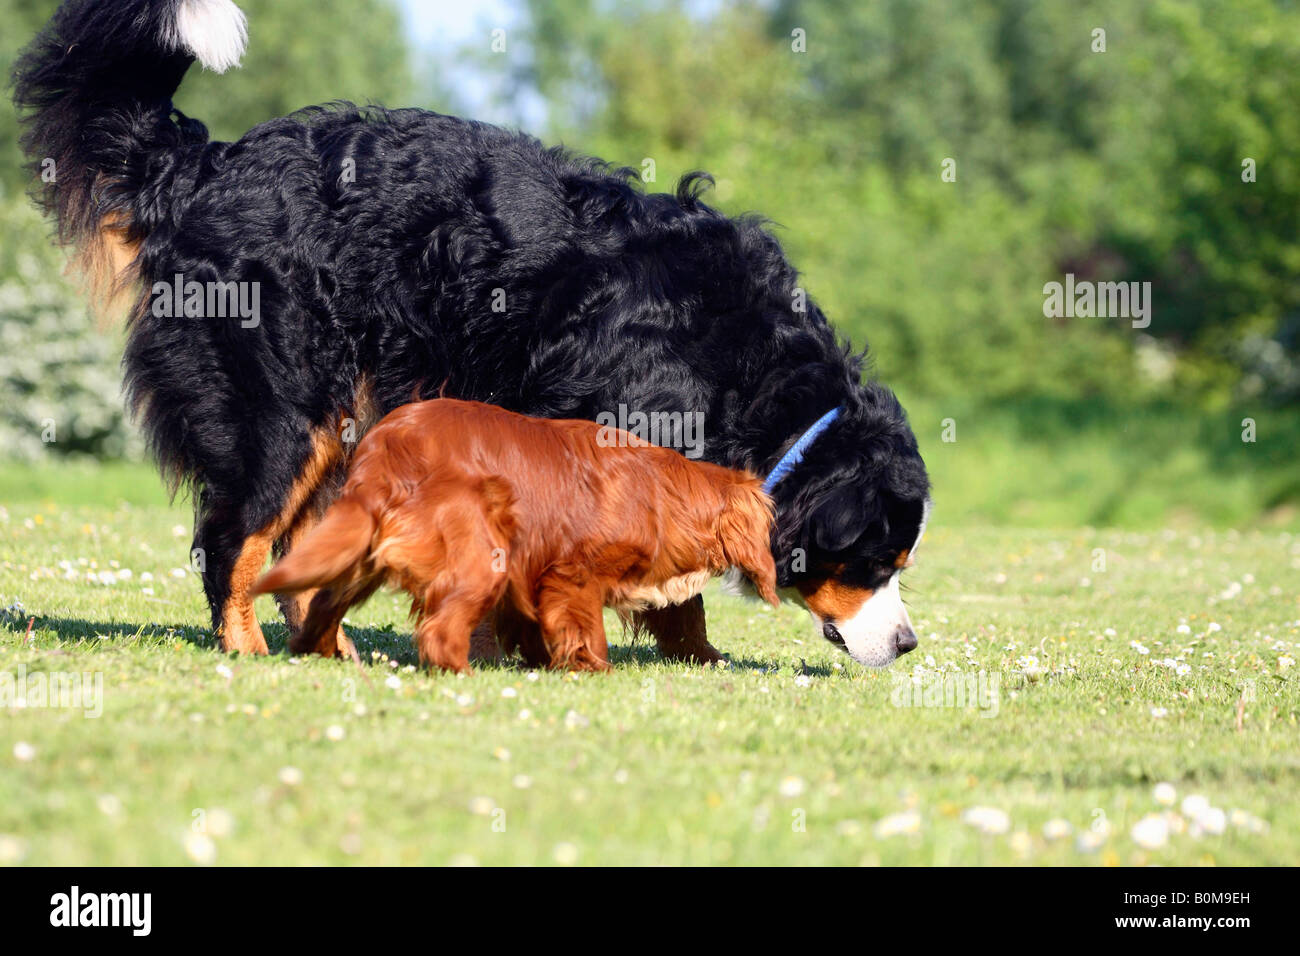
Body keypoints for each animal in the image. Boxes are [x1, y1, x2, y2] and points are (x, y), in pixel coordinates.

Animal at [7, 0, 925, 671]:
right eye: (873, 563)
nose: (910, 642)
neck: (751, 372)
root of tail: (208, 165)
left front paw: (688, 656)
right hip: (280, 406)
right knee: (236, 538)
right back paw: (248, 648)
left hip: (345, 420)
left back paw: (328, 650)